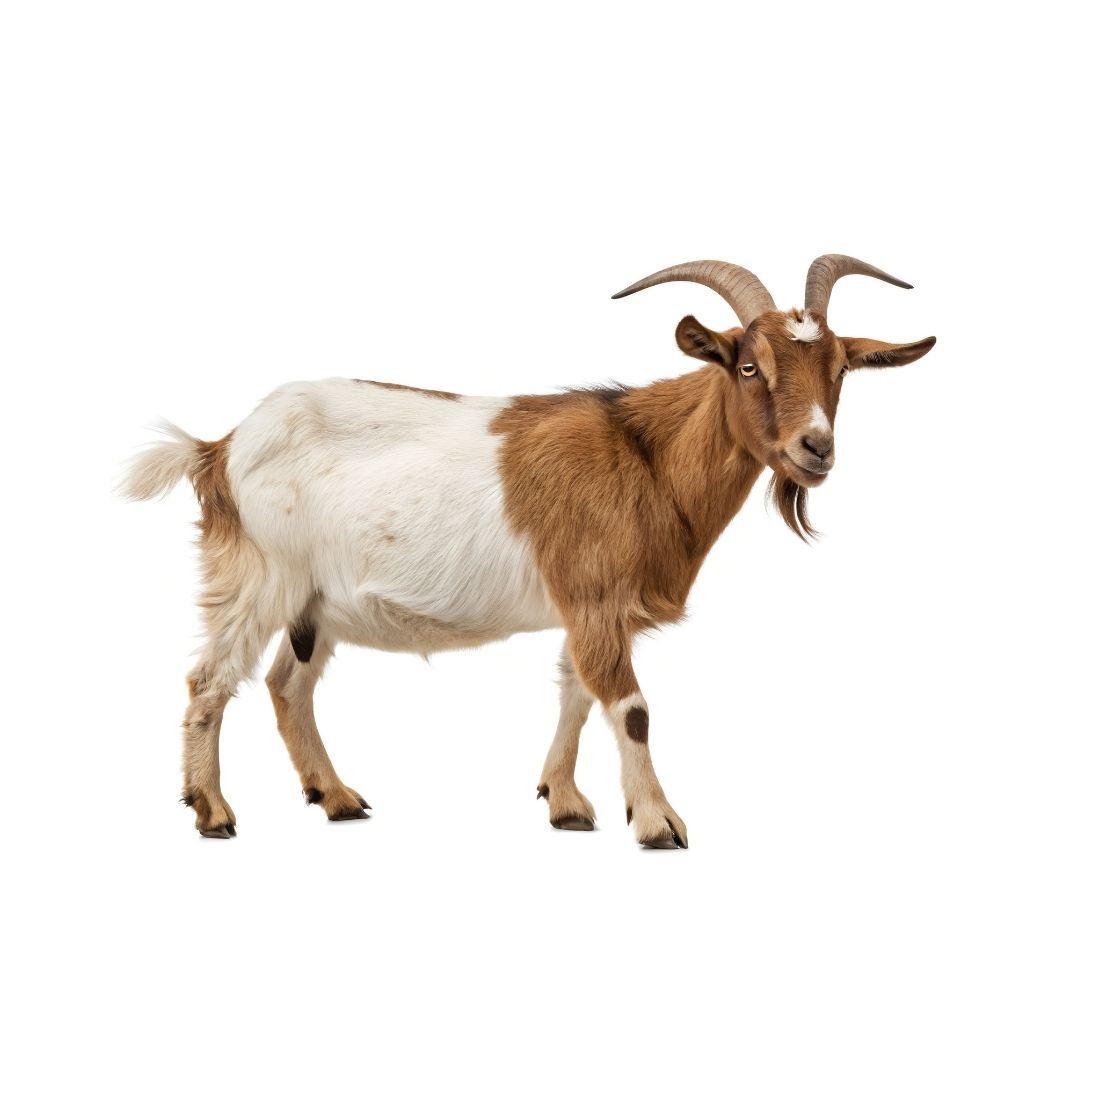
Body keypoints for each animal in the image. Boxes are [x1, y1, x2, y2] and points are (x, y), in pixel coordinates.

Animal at [124, 253, 935, 847]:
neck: (646, 457)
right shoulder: (595, 599)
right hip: (261, 575)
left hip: (315, 603)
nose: (816, 448)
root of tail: (220, 448)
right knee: (209, 680)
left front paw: (566, 801)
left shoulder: (591, 609)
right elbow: (631, 708)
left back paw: (337, 797)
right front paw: (658, 822)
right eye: (748, 366)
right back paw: (212, 811)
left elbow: (577, 695)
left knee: (287, 686)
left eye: (840, 370)